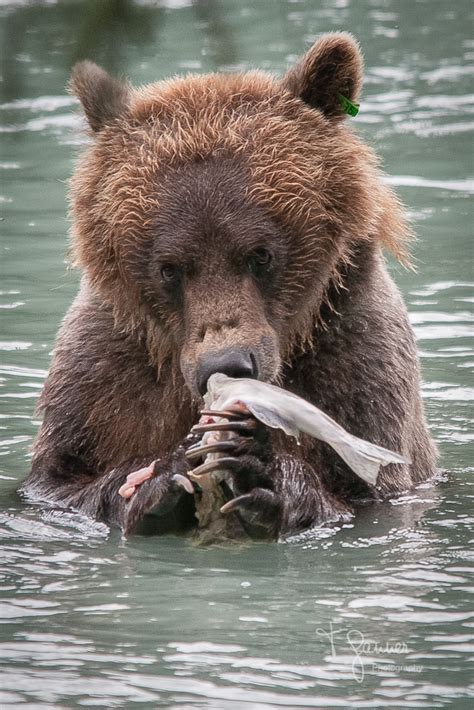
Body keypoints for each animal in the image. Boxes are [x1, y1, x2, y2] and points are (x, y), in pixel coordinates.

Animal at [22, 30, 436, 536]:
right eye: (169, 267)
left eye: (261, 254)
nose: (228, 364)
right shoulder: (104, 370)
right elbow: (60, 477)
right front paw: (161, 477)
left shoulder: (356, 356)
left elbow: (366, 491)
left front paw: (258, 469)